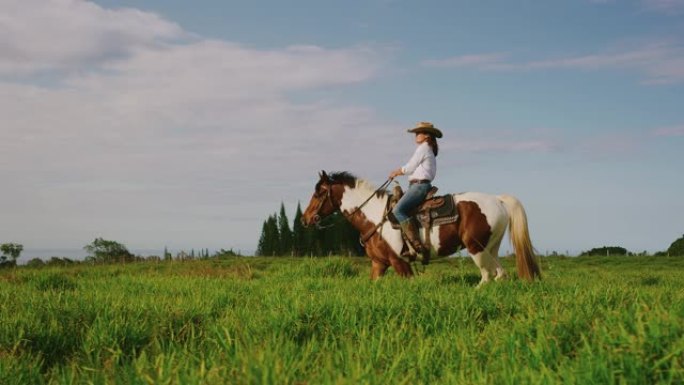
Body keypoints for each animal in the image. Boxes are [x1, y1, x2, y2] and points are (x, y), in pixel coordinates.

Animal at [302, 170, 544, 284]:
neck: (375, 215)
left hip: (476, 248)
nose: (305, 219)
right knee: (500, 274)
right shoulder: (379, 264)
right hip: (490, 247)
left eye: (319, 192)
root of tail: (498, 199)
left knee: (487, 276)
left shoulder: (400, 263)